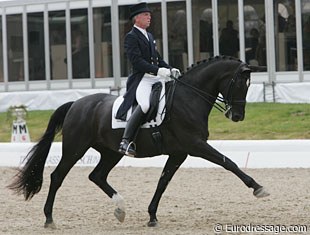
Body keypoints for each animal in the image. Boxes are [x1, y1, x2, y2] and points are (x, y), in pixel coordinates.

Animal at [7, 56, 268, 229]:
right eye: (239, 83)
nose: (237, 116)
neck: (189, 98)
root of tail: (76, 104)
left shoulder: (179, 153)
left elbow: (163, 182)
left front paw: (152, 216)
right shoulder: (195, 145)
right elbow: (228, 162)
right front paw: (258, 187)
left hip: (112, 152)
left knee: (97, 176)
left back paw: (120, 208)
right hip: (75, 148)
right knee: (57, 176)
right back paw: (49, 219)